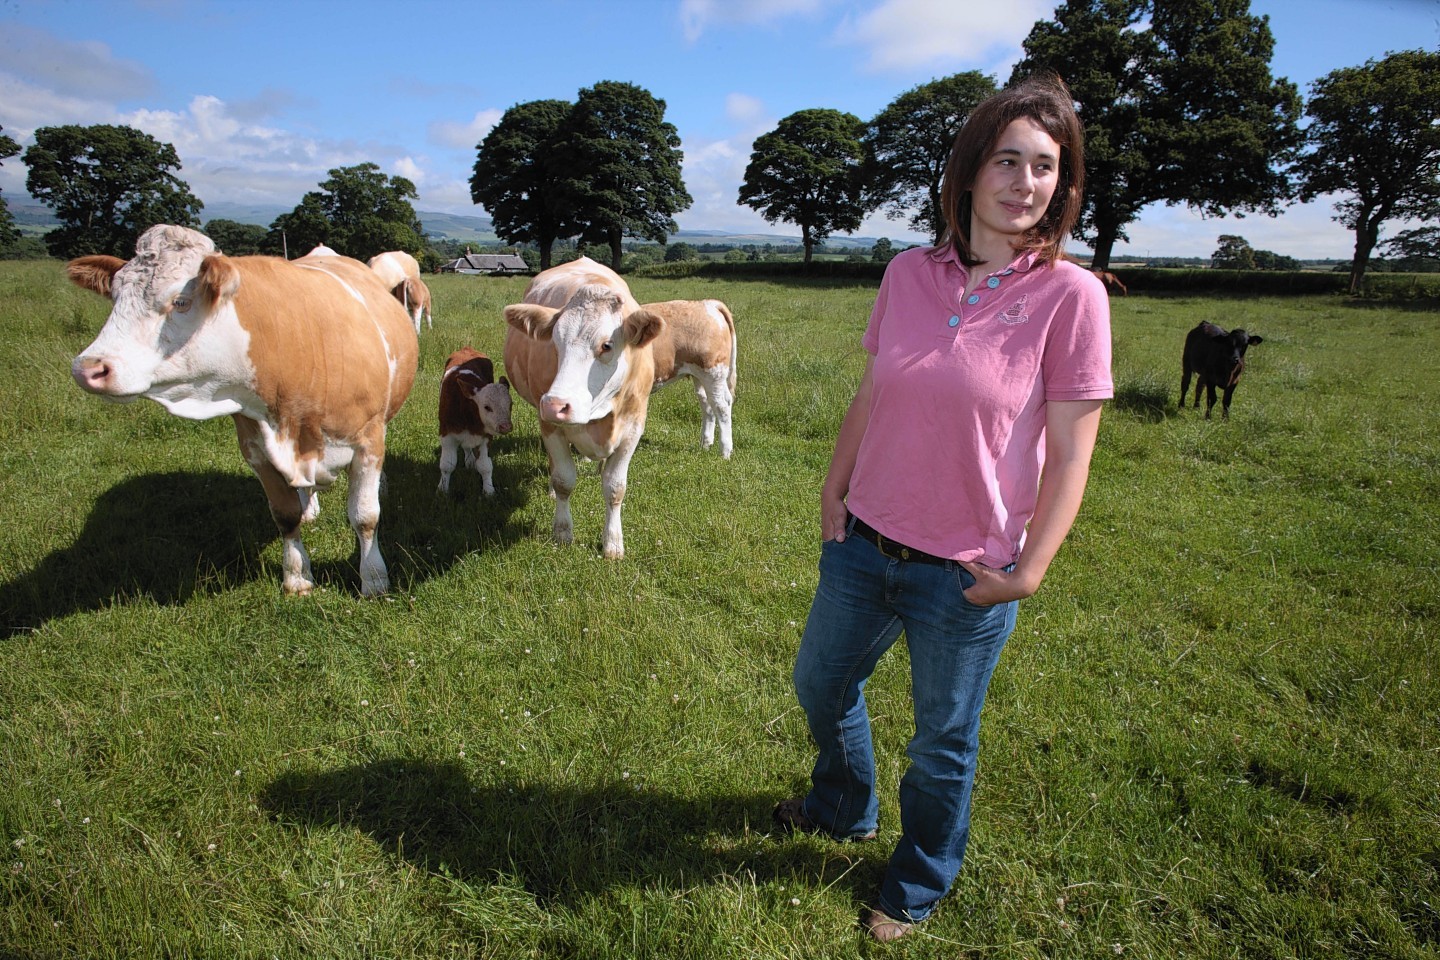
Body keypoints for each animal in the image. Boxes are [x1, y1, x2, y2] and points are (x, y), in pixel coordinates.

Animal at [70, 228, 420, 595]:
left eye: (180, 301)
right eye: (115, 297)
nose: (87, 368)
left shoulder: (368, 440)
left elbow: (365, 516)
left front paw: (374, 580)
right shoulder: (257, 449)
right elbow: (284, 515)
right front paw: (297, 577)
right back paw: (309, 506)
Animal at [437, 345, 518, 495]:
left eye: (511, 404)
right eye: (487, 407)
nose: (506, 426)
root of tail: (466, 348)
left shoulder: (486, 435)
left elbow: (485, 466)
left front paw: (489, 491)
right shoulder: (446, 434)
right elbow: (447, 464)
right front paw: (442, 489)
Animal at [501, 254, 662, 558]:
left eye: (607, 345)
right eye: (554, 342)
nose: (555, 404)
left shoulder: (633, 427)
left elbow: (615, 487)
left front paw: (613, 543)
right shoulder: (549, 425)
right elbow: (563, 480)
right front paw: (562, 532)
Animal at [645, 300, 743, 460]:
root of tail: (707, 303)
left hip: (713, 373)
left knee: (721, 406)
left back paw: (725, 452)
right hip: (701, 377)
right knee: (708, 404)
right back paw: (705, 445)